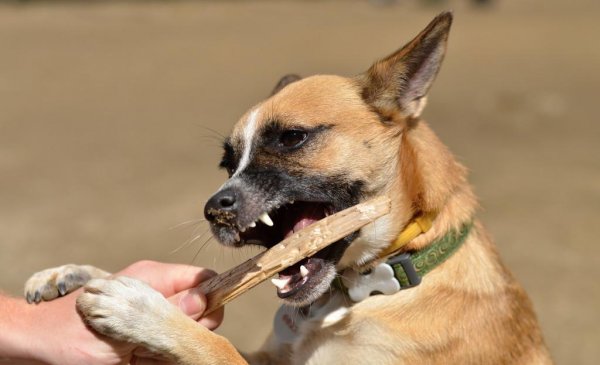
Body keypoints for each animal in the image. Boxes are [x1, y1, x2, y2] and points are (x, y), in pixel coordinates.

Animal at [27, 11, 552, 364]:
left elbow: (214, 343)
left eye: (292, 138)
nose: (213, 210)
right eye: (226, 162)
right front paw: (76, 273)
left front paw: (140, 308)